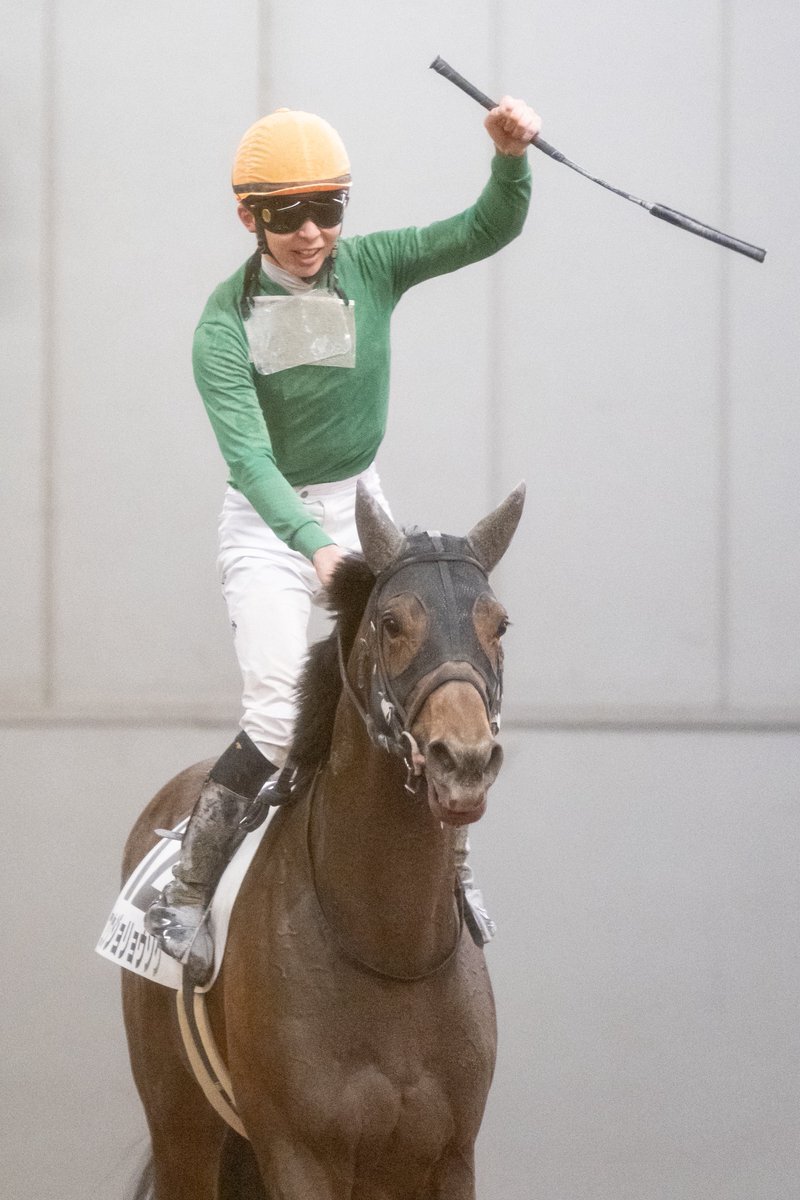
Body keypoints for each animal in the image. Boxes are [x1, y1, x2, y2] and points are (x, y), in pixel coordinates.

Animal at [121, 481, 525, 1200]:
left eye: (498, 623)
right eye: (392, 622)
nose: (464, 761)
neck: (390, 945)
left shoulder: (448, 1156)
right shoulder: (300, 1152)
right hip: (181, 1128)